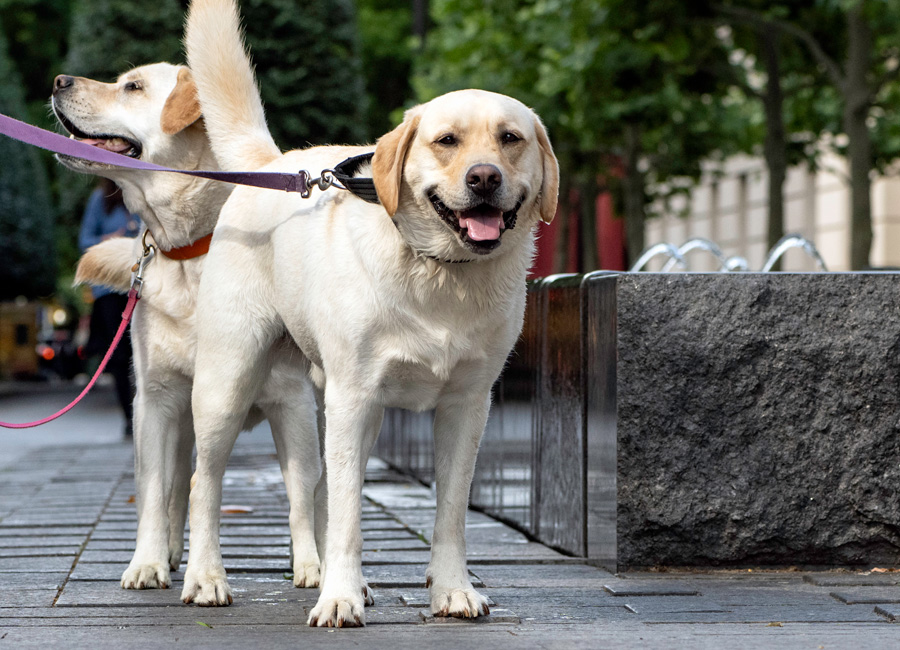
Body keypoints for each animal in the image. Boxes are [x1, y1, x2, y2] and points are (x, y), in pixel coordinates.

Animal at [51, 63, 322, 588]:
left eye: (132, 87)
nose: (58, 81)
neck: (192, 253)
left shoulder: (293, 401)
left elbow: (301, 494)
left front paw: (311, 566)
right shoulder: (155, 403)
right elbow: (157, 492)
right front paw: (148, 561)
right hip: (181, 417)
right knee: (177, 485)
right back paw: (172, 553)